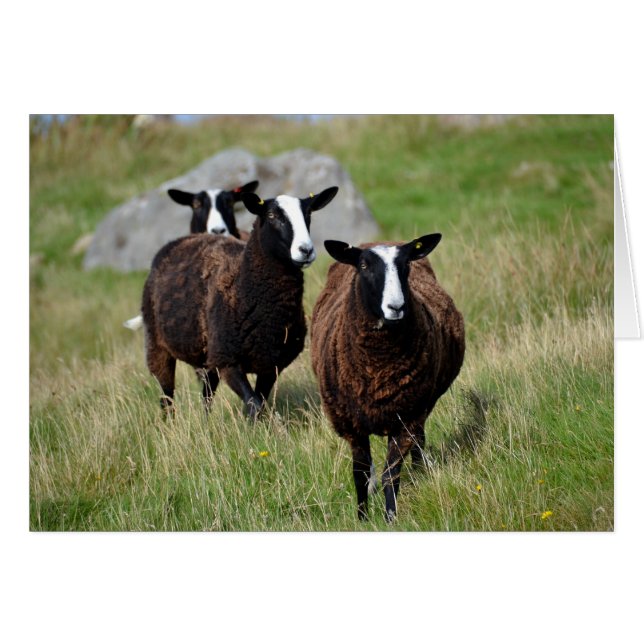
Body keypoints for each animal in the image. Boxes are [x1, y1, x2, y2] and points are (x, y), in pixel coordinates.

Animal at [142, 186, 339, 417]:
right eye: (271, 215)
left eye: (308, 214)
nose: (306, 250)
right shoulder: (228, 360)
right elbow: (254, 404)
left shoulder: (271, 364)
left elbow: (258, 401)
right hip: (158, 345)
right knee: (167, 396)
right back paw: (169, 423)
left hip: (209, 356)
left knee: (207, 394)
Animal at [310, 234, 465, 521]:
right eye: (363, 266)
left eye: (406, 264)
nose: (396, 307)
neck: (377, 369)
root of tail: (376, 240)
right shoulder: (352, 424)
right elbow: (360, 475)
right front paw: (362, 518)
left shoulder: (406, 418)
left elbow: (391, 475)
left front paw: (390, 518)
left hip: (420, 406)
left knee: (418, 442)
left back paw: (419, 470)